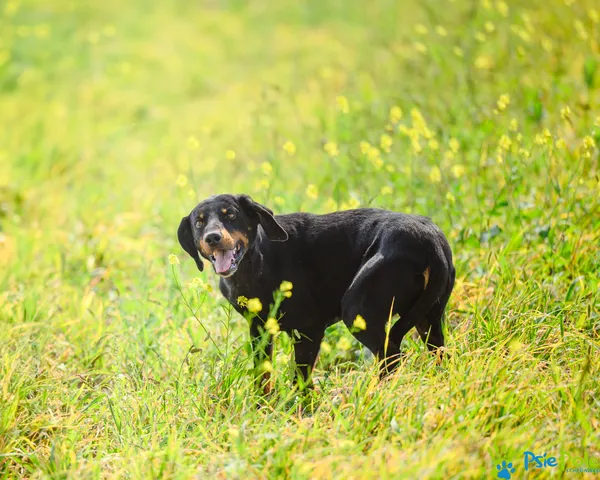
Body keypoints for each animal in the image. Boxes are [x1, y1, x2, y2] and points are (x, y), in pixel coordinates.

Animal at [178, 194, 454, 386]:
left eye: (231, 215)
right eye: (199, 222)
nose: (212, 237)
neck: (255, 262)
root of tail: (430, 241)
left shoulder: (308, 330)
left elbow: (301, 381)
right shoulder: (259, 331)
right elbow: (262, 376)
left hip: (357, 310)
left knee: (392, 357)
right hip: (428, 318)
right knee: (439, 353)